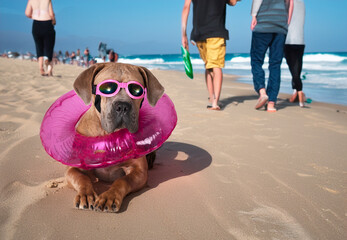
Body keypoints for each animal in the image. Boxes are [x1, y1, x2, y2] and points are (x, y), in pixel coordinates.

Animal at [67, 62, 166, 213]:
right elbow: (81, 178)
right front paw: (86, 195)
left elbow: (122, 181)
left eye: (136, 90)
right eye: (107, 88)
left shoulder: (139, 172)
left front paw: (109, 197)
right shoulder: (73, 169)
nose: (123, 106)